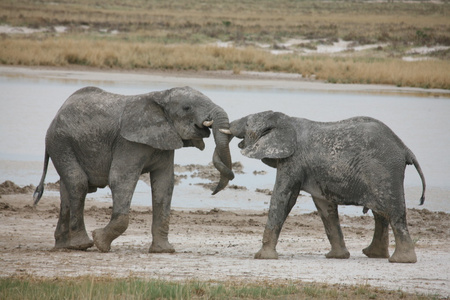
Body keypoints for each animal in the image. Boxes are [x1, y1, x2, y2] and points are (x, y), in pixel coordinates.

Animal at [33, 86, 234, 253]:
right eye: (187, 108)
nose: (213, 192)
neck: (161, 95)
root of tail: (58, 113)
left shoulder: (164, 141)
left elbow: (165, 185)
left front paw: (164, 250)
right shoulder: (128, 142)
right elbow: (121, 180)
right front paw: (100, 242)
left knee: (66, 189)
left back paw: (63, 246)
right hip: (60, 142)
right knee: (78, 183)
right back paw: (81, 245)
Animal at [225, 110, 426, 262]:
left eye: (247, 124)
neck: (286, 120)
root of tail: (405, 149)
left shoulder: (293, 161)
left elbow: (283, 198)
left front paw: (262, 257)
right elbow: (324, 206)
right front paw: (337, 257)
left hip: (384, 172)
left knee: (393, 212)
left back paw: (401, 260)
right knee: (381, 213)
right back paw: (374, 254)